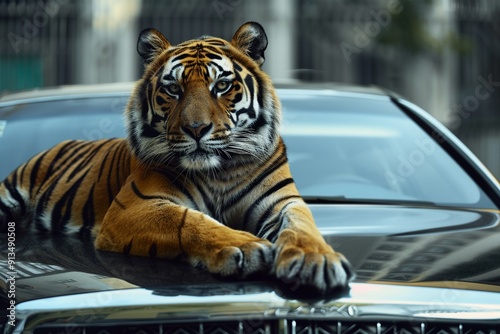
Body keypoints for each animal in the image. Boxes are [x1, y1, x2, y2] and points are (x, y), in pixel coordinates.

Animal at [0, 21, 352, 292]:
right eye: (173, 89)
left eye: (222, 85)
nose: (196, 129)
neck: (220, 171)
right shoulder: (135, 206)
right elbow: (188, 220)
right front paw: (245, 246)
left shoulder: (281, 202)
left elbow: (301, 224)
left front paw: (315, 259)